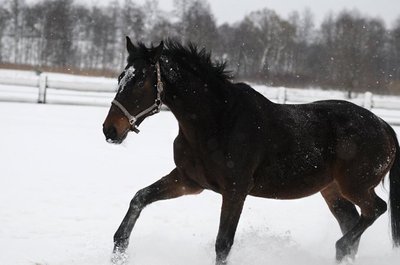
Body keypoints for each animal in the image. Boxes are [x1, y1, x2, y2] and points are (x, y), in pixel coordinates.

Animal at [102, 37, 400, 264]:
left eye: (141, 80)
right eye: (120, 77)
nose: (110, 130)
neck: (218, 121)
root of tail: (385, 126)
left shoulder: (236, 190)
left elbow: (223, 243)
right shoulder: (189, 181)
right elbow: (139, 198)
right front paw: (119, 249)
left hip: (356, 186)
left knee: (374, 210)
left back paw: (340, 246)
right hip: (332, 191)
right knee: (352, 223)